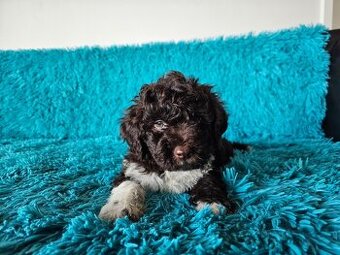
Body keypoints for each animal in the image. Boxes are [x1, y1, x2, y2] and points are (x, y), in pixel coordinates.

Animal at [99, 71, 247, 221]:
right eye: (159, 123)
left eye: (198, 120)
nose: (183, 152)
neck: (172, 169)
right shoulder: (133, 167)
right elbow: (128, 183)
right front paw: (119, 208)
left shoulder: (208, 165)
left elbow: (209, 180)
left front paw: (212, 202)